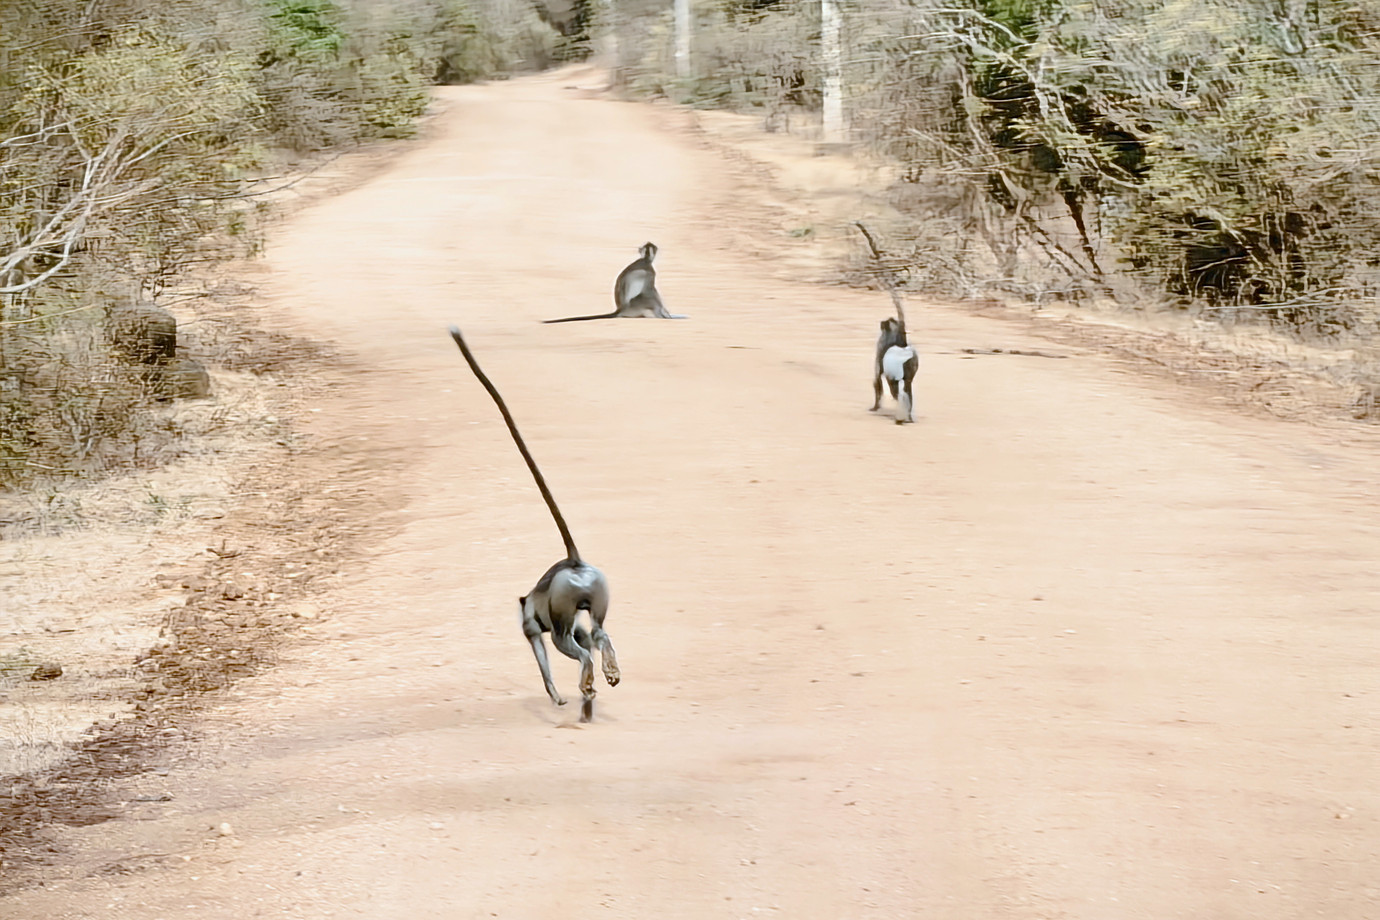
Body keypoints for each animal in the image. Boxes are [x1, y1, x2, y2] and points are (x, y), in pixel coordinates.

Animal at [447, 326, 621, 722]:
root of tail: (574, 562)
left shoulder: (529, 622)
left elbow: (540, 652)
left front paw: (556, 696)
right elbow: (586, 635)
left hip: (561, 603)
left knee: (566, 641)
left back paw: (588, 674)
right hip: (597, 589)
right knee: (597, 632)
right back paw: (607, 668)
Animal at [540, 241, 687, 324]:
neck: (645, 259)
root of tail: (621, 309)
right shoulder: (650, 273)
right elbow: (651, 291)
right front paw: (666, 314)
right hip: (636, 304)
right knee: (648, 297)